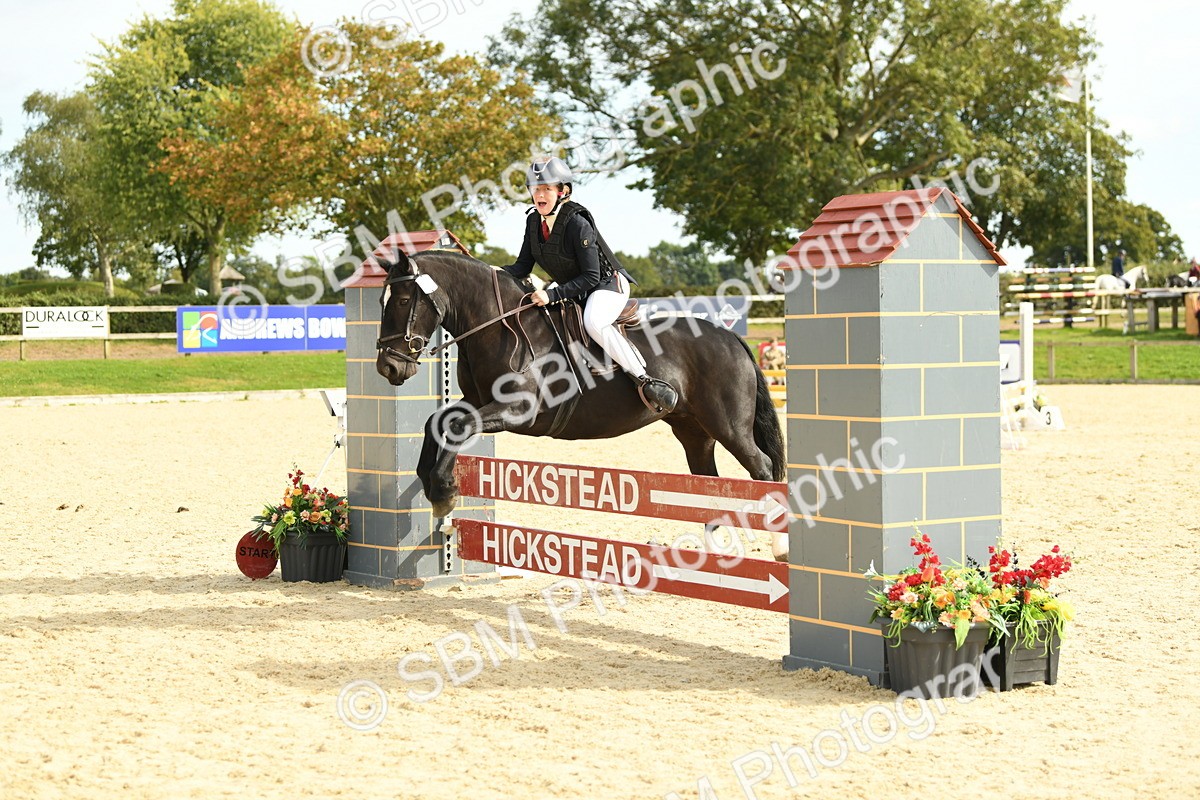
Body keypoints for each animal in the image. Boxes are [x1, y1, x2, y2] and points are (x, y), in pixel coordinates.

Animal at [374, 248, 786, 527]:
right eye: (381, 300)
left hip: (729, 427)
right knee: (709, 484)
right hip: (693, 430)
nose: (388, 366)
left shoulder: (517, 411)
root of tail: (731, 338)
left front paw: (443, 490)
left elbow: (456, 426)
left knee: (762, 469)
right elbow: (438, 421)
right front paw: (429, 480)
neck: (497, 326)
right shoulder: (477, 400)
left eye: (405, 300)